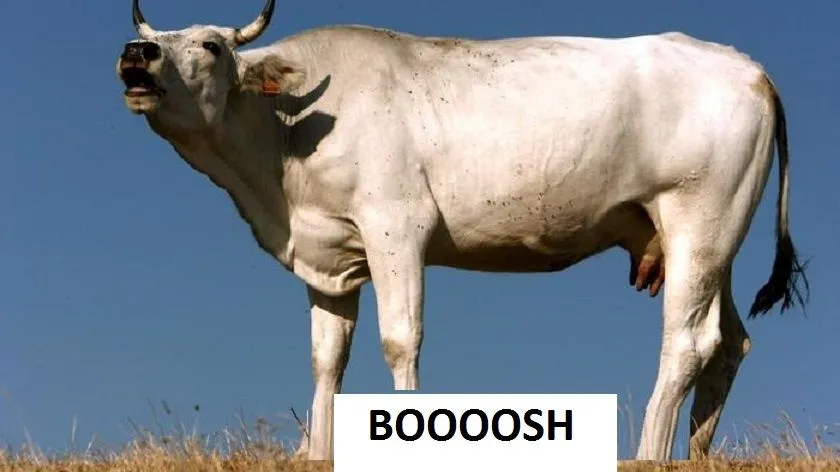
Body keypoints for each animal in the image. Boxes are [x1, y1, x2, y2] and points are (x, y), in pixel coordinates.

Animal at [115, 0, 809, 461]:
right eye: (156, 37)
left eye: (210, 45)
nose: (136, 52)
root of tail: (744, 65)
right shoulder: (331, 252)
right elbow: (326, 358)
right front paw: (316, 454)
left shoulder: (395, 224)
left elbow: (400, 340)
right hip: (711, 240)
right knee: (729, 342)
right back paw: (695, 455)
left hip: (700, 220)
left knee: (687, 342)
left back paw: (648, 454)